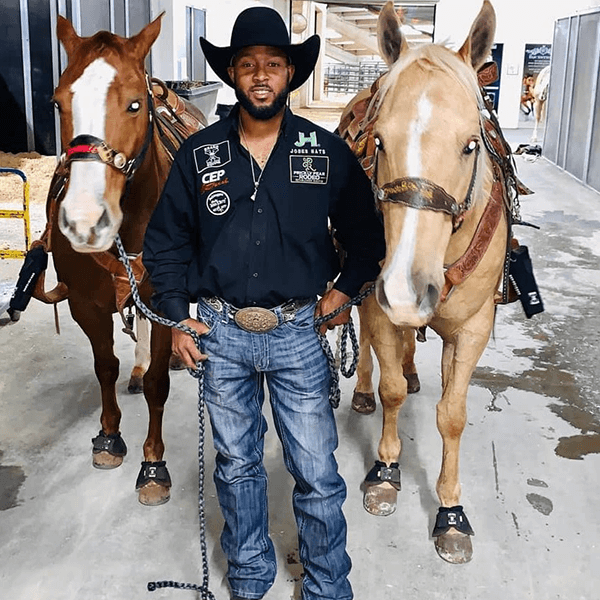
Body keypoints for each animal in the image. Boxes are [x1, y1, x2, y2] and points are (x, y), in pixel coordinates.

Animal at [41, 16, 204, 506]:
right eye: (57, 103)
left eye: (134, 104)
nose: (84, 220)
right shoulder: (84, 305)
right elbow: (104, 367)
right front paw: (110, 437)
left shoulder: (165, 301)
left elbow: (157, 385)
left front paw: (153, 463)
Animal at [340, 1, 512, 564]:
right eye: (379, 141)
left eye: (470, 145)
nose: (406, 290)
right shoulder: (378, 304)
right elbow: (391, 386)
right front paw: (386, 470)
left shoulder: (474, 328)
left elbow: (452, 415)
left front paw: (451, 511)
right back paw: (364, 390)